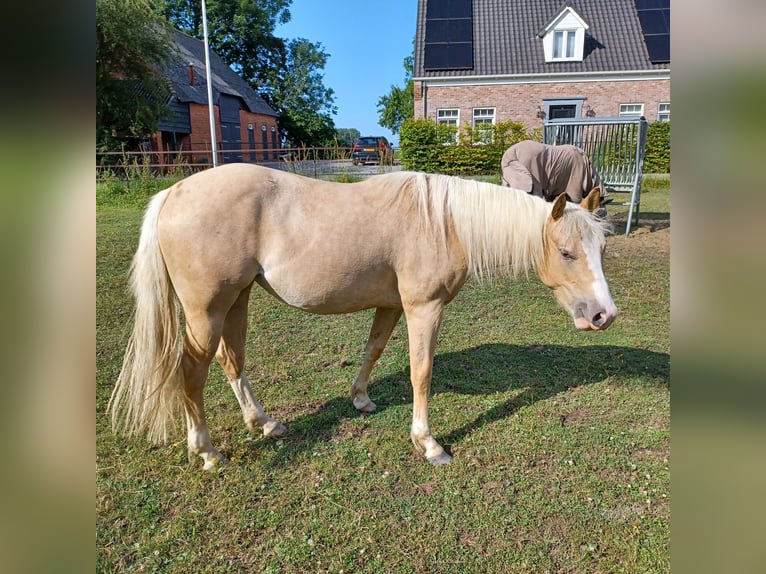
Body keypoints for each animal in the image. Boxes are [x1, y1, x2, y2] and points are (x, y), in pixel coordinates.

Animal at [111, 164, 620, 470]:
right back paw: (207, 451)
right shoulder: (423, 307)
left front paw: (360, 399)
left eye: (601, 249)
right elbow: (421, 372)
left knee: (230, 361)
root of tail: (172, 193)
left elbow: (374, 349)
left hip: (235, 301)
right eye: (567, 252)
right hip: (207, 310)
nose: (603, 315)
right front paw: (429, 444)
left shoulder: (392, 305)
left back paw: (265, 424)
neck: (445, 223)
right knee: (192, 372)